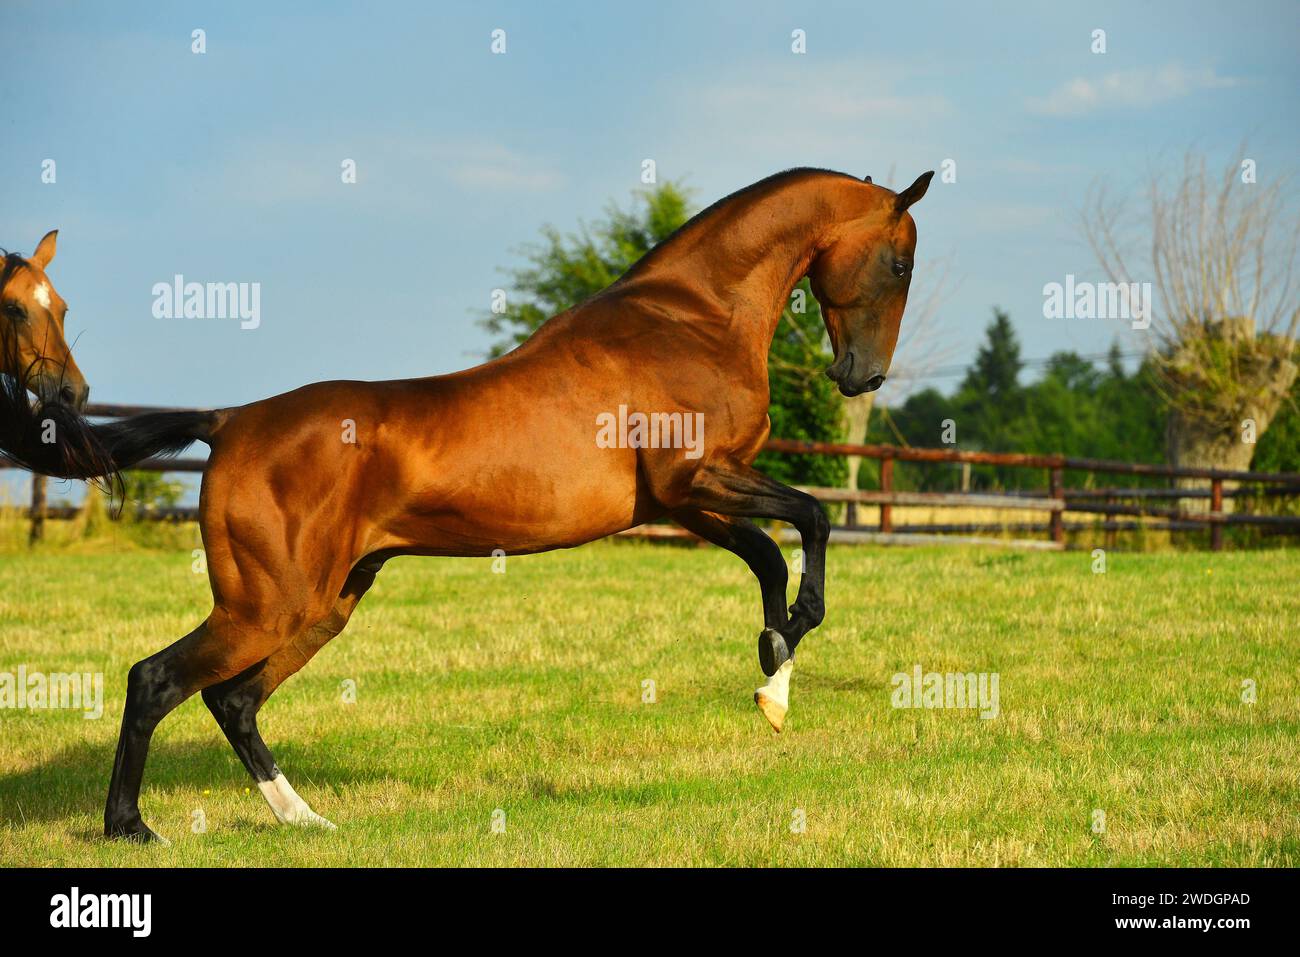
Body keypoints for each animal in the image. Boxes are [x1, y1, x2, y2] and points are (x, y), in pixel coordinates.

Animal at [3, 167, 933, 842]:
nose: (862, 376)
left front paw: (774, 680)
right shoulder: (695, 480)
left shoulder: (687, 498)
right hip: (267, 604)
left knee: (231, 701)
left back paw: (305, 818)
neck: (690, 318)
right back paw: (130, 828)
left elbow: (771, 550)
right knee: (155, 680)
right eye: (900, 261)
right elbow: (810, 520)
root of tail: (229, 421)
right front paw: (786, 653)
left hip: (324, 602)